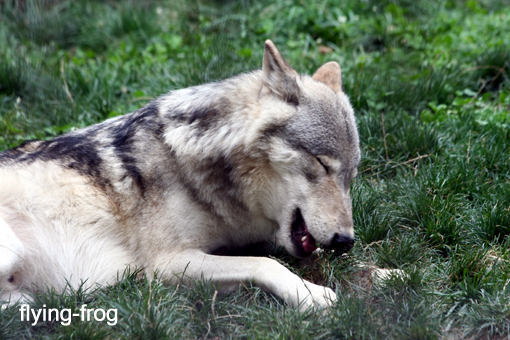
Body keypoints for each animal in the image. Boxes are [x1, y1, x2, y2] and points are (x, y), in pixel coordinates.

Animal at [0, 39, 360, 310]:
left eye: (351, 175)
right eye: (322, 163)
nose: (345, 241)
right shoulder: (167, 264)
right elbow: (265, 262)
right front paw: (310, 294)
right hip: (11, 250)